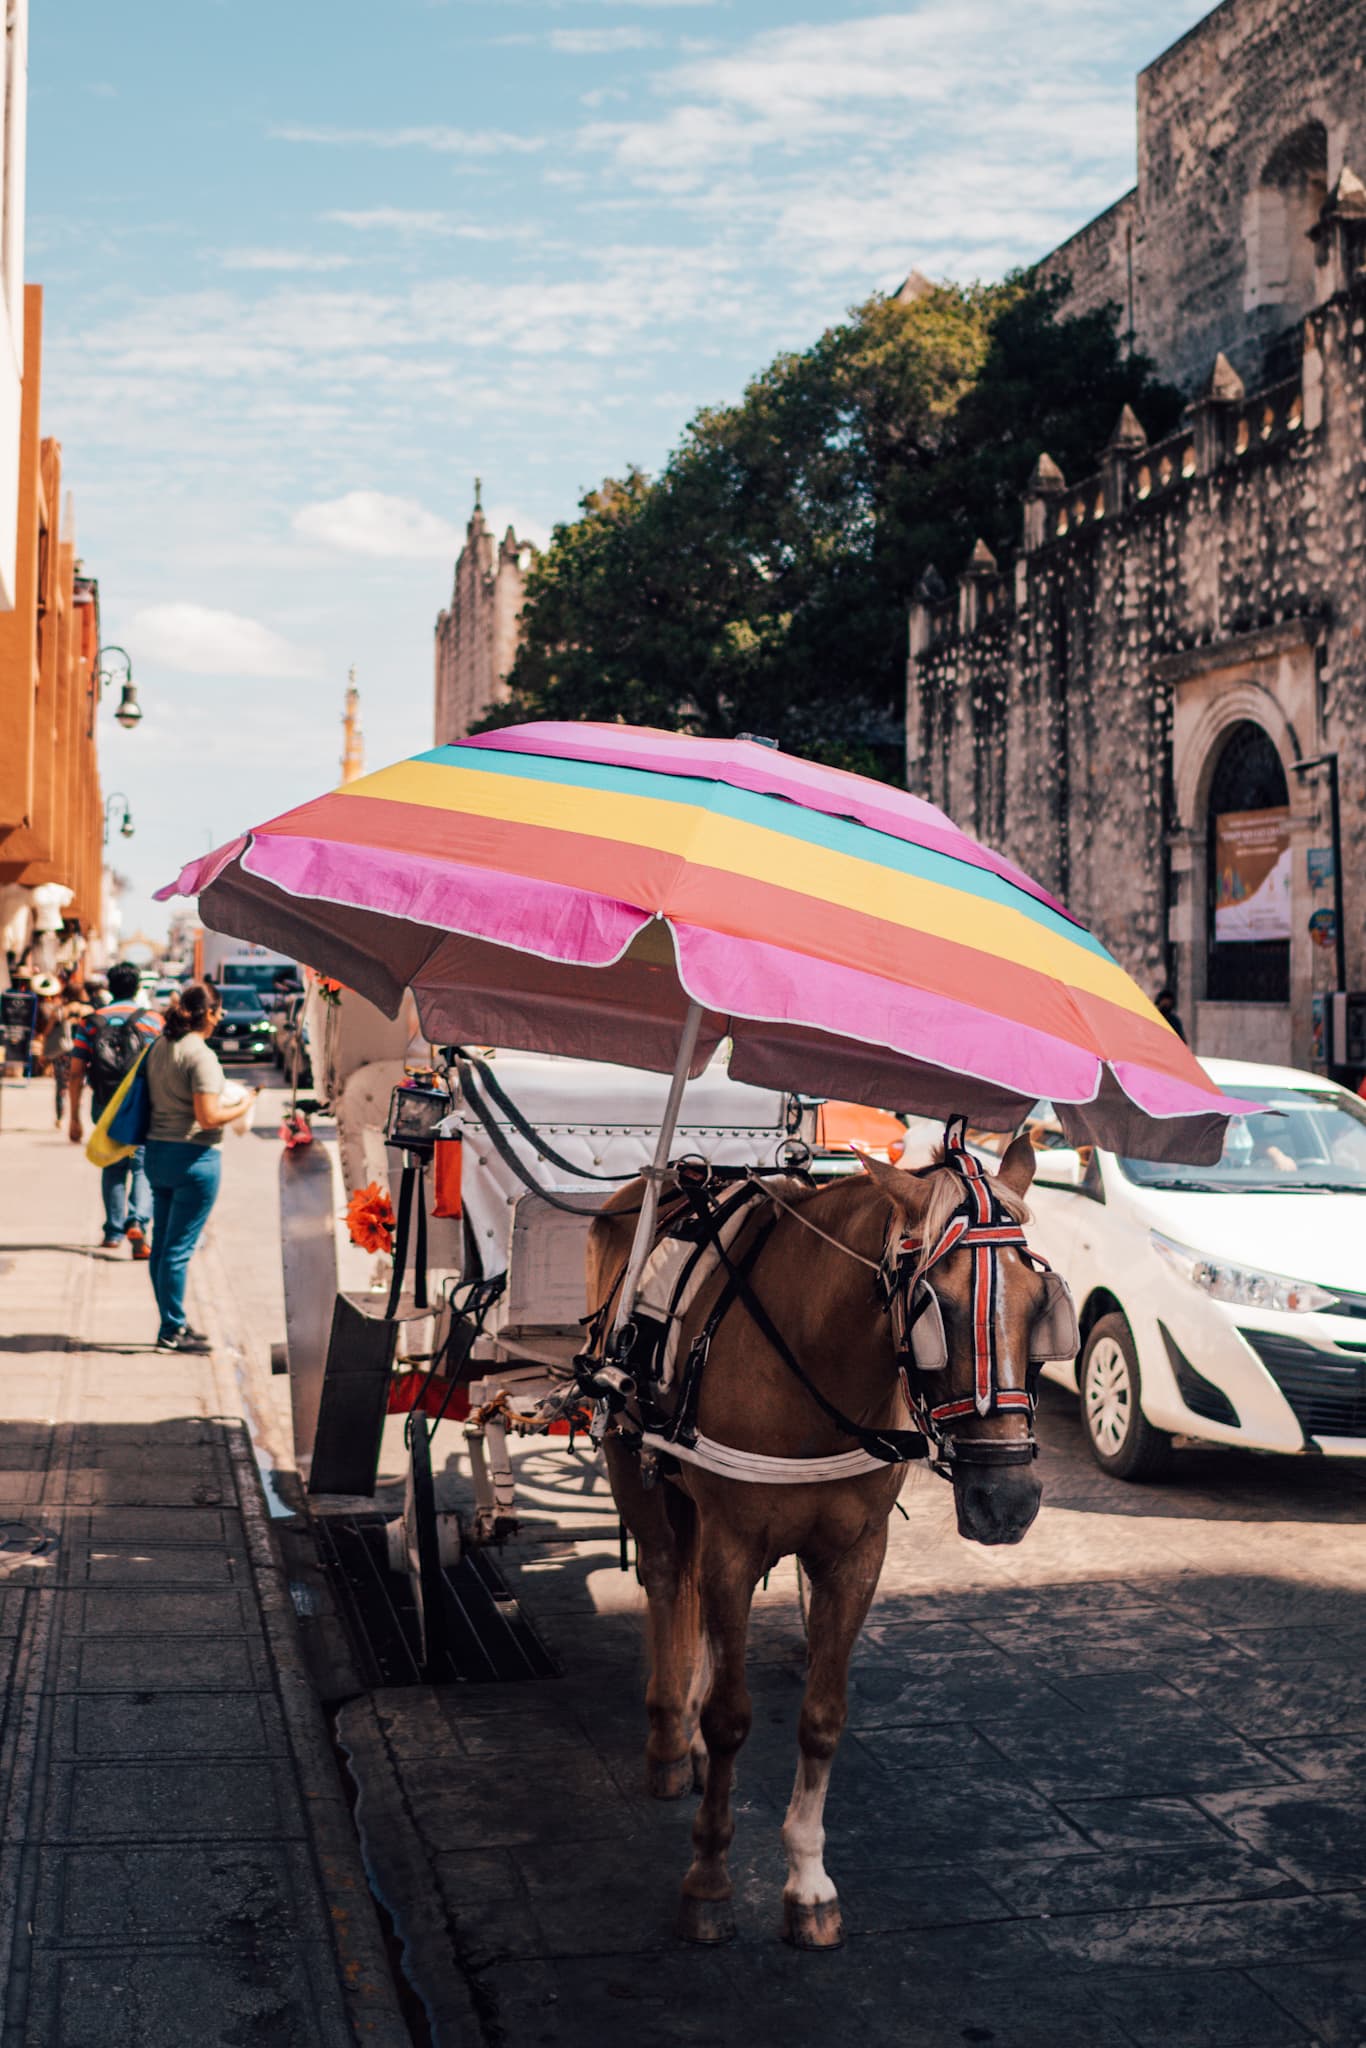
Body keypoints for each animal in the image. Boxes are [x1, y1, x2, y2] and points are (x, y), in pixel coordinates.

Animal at [589, 1138, 1048, 1949]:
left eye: (1039, 1302)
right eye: (936, 1308)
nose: (1008, 1501)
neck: (813, 1359)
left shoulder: (856, 1556)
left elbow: (823, 1719)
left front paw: (807, 1882)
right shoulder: (734, 1547)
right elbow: (732, 1718)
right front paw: (709, 1880)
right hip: (631, 1460)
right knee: (669, 1578)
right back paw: (671, 1736)